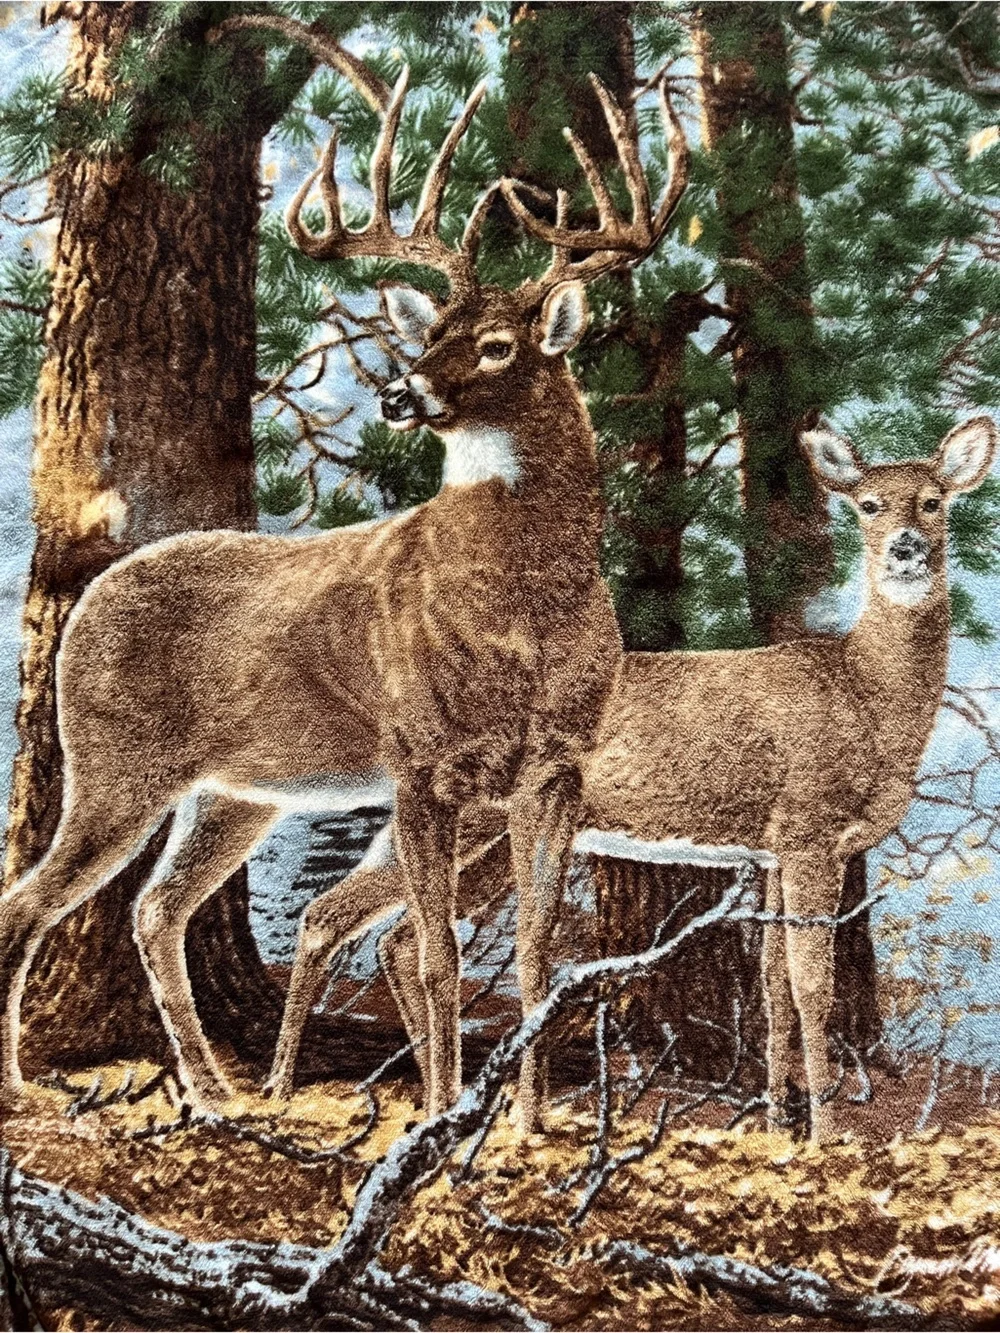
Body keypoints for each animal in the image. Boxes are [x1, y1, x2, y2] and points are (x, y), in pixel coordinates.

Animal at [0, 68, 691, 1132]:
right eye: (432, 334)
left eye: (499, 346)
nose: (404, 393)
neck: (523, 619)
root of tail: (88, 601)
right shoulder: (418, 759)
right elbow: (439, 955)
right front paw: (443, 1117)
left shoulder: (556, 769)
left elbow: (539, 959)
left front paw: (528, 1125)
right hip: (115, 760)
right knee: (30, 904)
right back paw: (30, 1085)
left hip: (235, 791)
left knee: (155, 908)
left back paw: (217, 1094)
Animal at [265, 416, 997, 1144]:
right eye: (868, 504)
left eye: (933, 501)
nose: (905, 547)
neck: (865, 697)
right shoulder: (812, 828)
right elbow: (811, 984)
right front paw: (825, 1132)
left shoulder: (773, 848)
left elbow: (774, 988)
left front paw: (775, 1122)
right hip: (473, 815)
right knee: (335, 916)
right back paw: (289, 1089)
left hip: (491, 835)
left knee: (385, 932)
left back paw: (425, 1098)